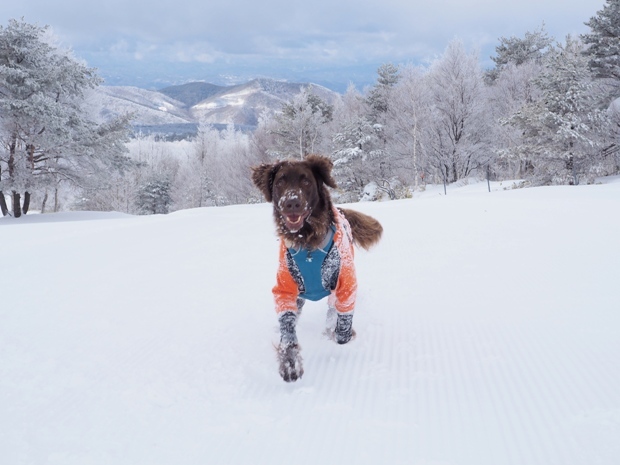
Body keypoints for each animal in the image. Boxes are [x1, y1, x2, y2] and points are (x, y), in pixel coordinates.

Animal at [252, 156, 382, 380]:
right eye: (280, 182)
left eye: (306, 181)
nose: (291, 202)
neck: (307, 242)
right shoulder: (285, 289)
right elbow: (287, 327)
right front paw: (290, 362)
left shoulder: (345, 285)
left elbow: (342, 328)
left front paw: (339, 335)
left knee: (332, 310)